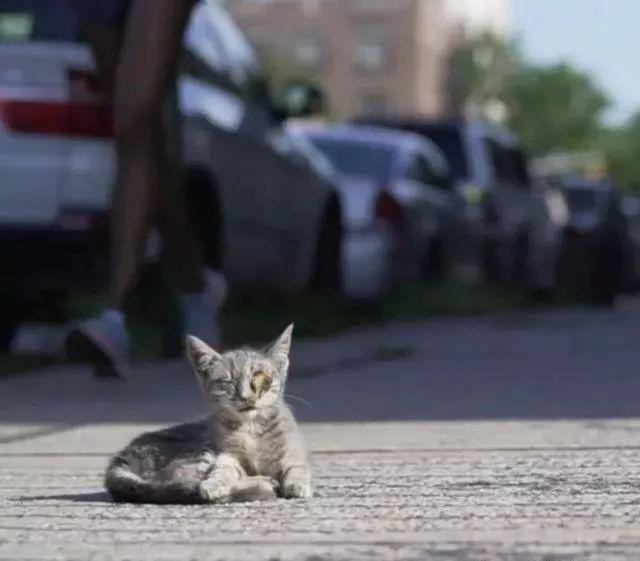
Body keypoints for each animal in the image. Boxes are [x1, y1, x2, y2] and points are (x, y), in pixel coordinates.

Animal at [104, 324, 312, 504]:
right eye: (227, 382)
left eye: (259, 377)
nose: (246, 396)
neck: (250, 427)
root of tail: (119, 460)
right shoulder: (225, 455)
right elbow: (223, 471)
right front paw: (214, 483)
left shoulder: (293, 452)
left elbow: (297, 468)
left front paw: (298, 484)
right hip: (198, 452)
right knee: (177, 481)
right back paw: (263, 483)